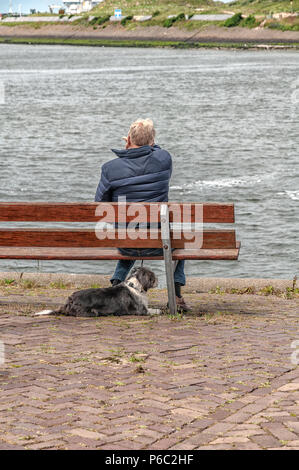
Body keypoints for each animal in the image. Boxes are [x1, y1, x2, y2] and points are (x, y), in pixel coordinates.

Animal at [34, 266, 162, 318]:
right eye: (153, 278)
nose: (158, 280)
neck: (135, 286)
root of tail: (68, 302)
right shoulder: (141, 310)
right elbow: (154, 310)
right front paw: (159, 311)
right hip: (92, 312)